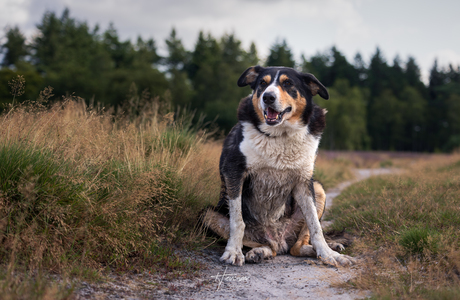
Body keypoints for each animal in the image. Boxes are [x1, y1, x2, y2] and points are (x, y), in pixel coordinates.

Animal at [202, 65, 356, 268]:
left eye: (288, 83)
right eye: (262, 83)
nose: (268, 97)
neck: (281, 134)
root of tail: (279, 240)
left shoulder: (304, 181)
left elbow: (316, 226)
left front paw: (329, 254)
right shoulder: (234, 171)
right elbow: (237, 221)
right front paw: (233, 252)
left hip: (318, 188)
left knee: (297, 247)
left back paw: (323, 250)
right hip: (207, 214)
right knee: (270, 247)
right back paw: (260, 252)